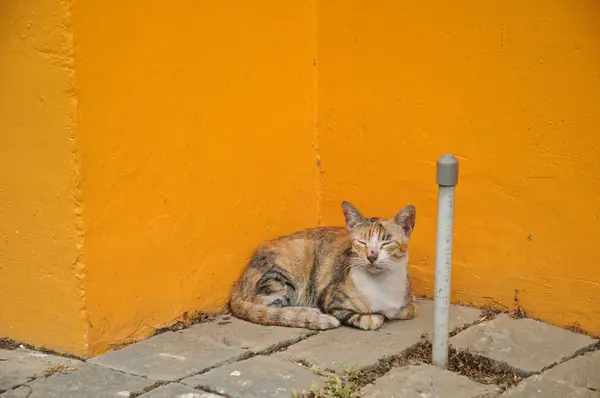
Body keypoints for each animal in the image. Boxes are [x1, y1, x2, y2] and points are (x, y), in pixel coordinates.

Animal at [230, 202, 418, 330]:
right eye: (361, 242)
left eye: (386, 242)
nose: (371, 256)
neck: (382, 283)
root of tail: (238, 285)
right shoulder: (330, 299)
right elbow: (373, 319)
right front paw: (376, 317)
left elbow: (410, 309)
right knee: (268, 307)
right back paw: (308, 313)